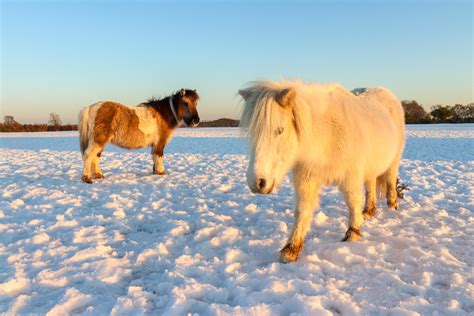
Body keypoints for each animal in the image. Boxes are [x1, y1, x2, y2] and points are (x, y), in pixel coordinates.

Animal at [239, 80, 406, 262]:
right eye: (251, 133)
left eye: (279, 130)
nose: (257, 182)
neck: (327, 134)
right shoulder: (306, 179)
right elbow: (302, 211)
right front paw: (291, 249)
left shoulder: (351, 177)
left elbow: (352, 202)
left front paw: (353, 233)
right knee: (370, 186)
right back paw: (368, 211)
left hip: (393, 161)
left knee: (390, 183)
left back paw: (391, 207)